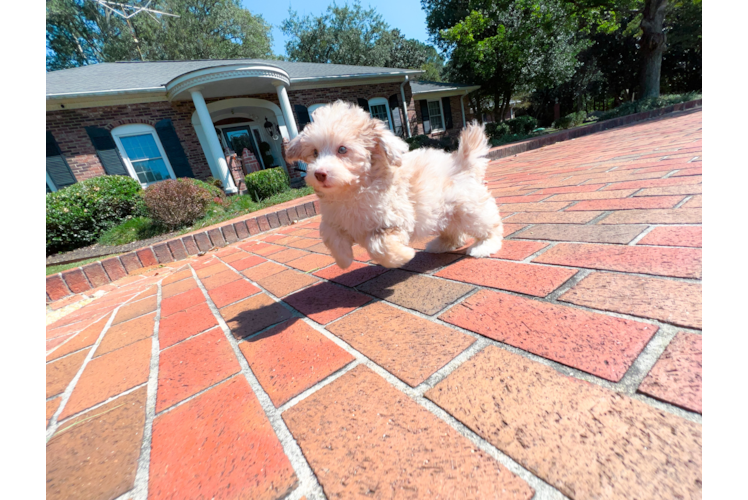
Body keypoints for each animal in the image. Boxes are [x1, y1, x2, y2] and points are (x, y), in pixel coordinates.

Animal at [284, 98, 502, 270]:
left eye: (343, 149)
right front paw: (344, 260)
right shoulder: (333, 220)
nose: (319, 173)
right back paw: (441, 245)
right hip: (444, 212)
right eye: (314, 152)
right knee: (453, 231)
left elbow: (378, 245)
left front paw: (403, 256)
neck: (352, 190)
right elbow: (330, 235)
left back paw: (484, 246)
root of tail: (462, 163)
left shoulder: (394, 220)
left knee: (490, 225)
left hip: (468, 209)